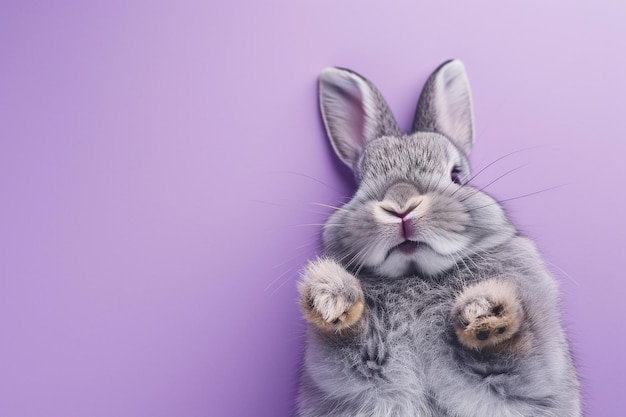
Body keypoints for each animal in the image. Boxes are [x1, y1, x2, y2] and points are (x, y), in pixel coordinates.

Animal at [296, 59, 580, 416]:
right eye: (359, 183)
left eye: (456, 175)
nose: (401, 206)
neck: (416, 274)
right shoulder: (347, 372)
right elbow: (347, 340)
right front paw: (330, 297)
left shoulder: (532, 373)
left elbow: (515, 350)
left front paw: (485, 310)